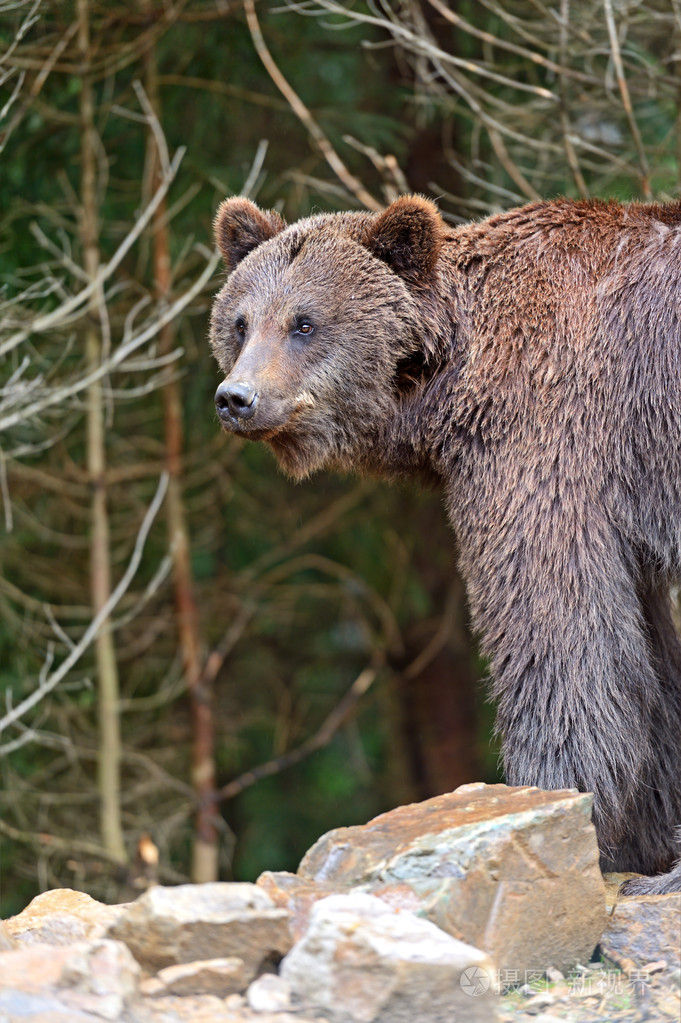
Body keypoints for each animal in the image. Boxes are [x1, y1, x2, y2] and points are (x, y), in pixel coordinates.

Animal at [209, 193, 678, 896]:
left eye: (304, 323)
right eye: (240, 322)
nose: (237, 398)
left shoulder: (549, 442)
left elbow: (556, 633)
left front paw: (563, 813)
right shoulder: (624, 508)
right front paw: (648, 843)